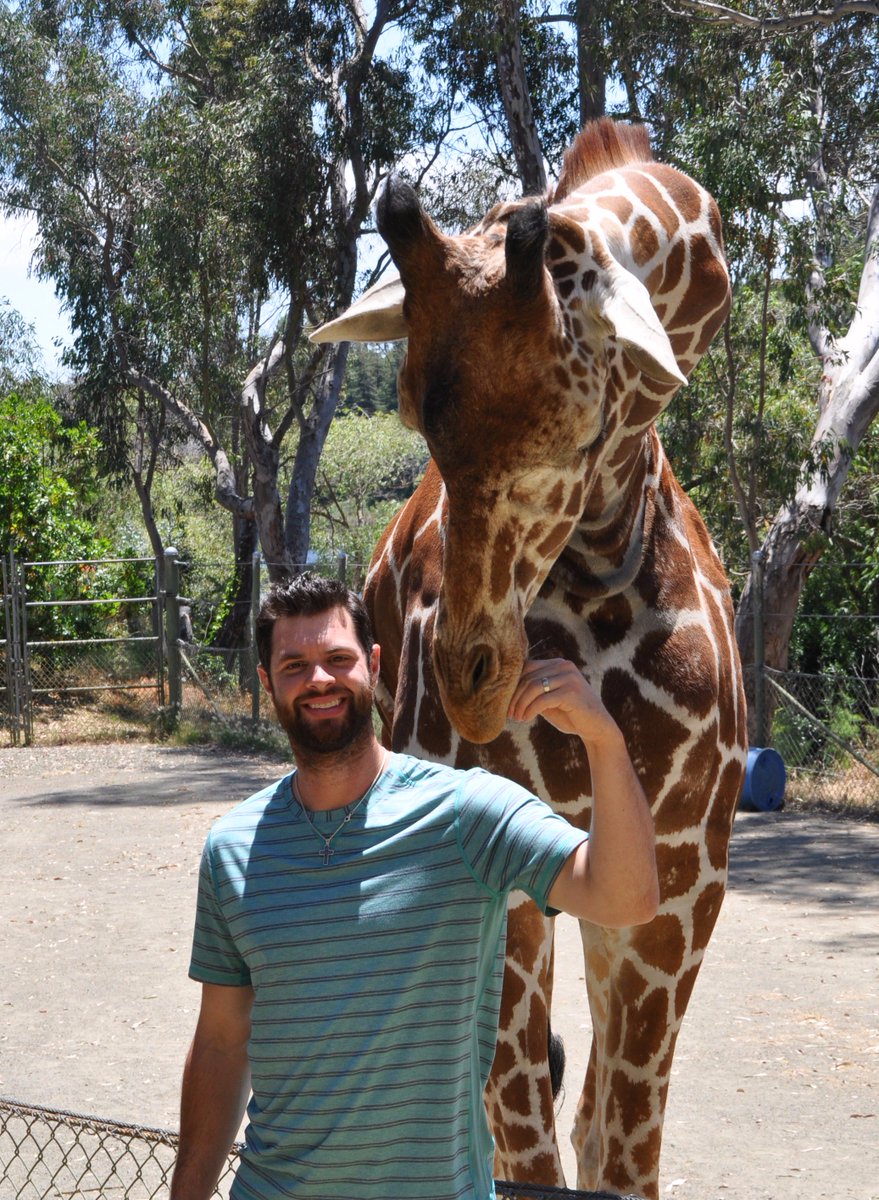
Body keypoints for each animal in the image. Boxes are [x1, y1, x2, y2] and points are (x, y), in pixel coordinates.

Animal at [311, 119, 748, 1199]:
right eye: (419, 420)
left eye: (579, 426)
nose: (472, 684)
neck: (599, 567)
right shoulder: (500, 878)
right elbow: (525, 1146)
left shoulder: (679, 885)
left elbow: (616, 1149)